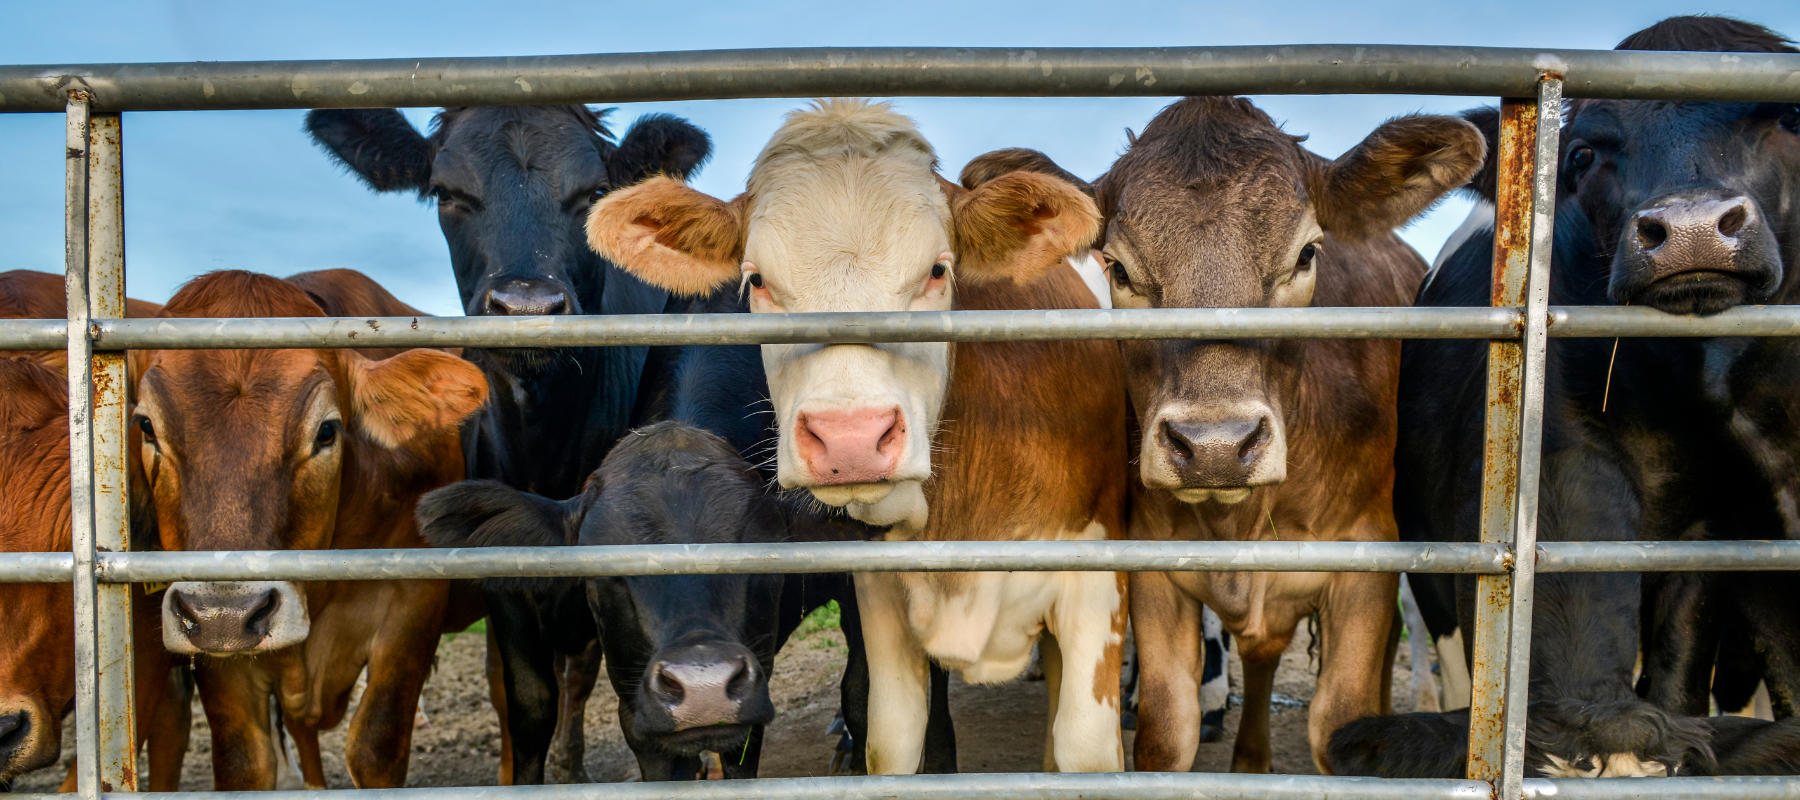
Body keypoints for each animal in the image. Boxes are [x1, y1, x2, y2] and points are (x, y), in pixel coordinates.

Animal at [131, 268, 486, 789]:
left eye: (327, 431)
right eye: (146, 427)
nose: (225, 615)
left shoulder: (414, 606)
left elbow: (375, 747)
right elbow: (246, 761)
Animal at [302, 104, 702, 781]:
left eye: (593, 192)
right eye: (446, 193)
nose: (526, 305)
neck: (545, 447)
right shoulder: (501, 566)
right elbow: (528, 704)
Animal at [979, 96, 1483, 771]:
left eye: (1307, 253)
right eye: (1117, 267)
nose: (1215, 446)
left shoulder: (1366, 563)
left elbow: (1342, 724)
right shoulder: (1156, 571)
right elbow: (1168, 728)